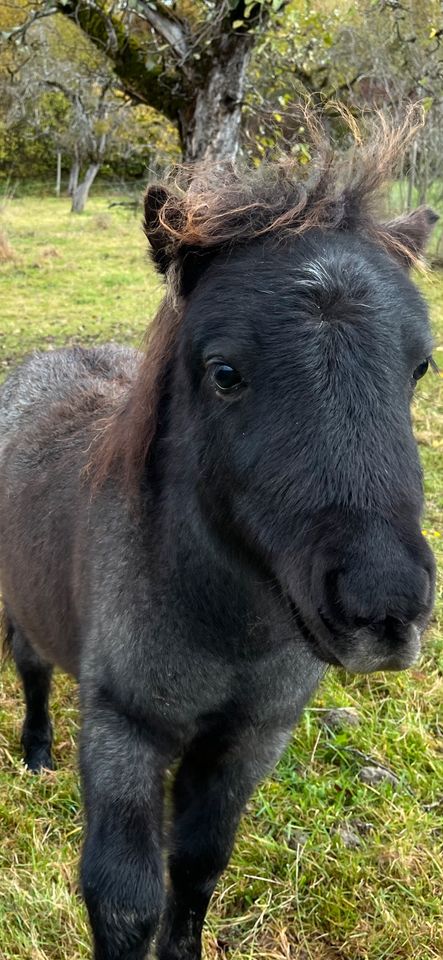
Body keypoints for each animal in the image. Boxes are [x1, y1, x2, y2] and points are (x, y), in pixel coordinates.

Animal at [0, 118, 438, 960]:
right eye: (225, 371)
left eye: (419, 368)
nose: (382, 611)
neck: (227, 628)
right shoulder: (125, 731)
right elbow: (124, 899)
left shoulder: (250, 740)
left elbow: (199, 865)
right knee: (32, 669)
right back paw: (36, 752)